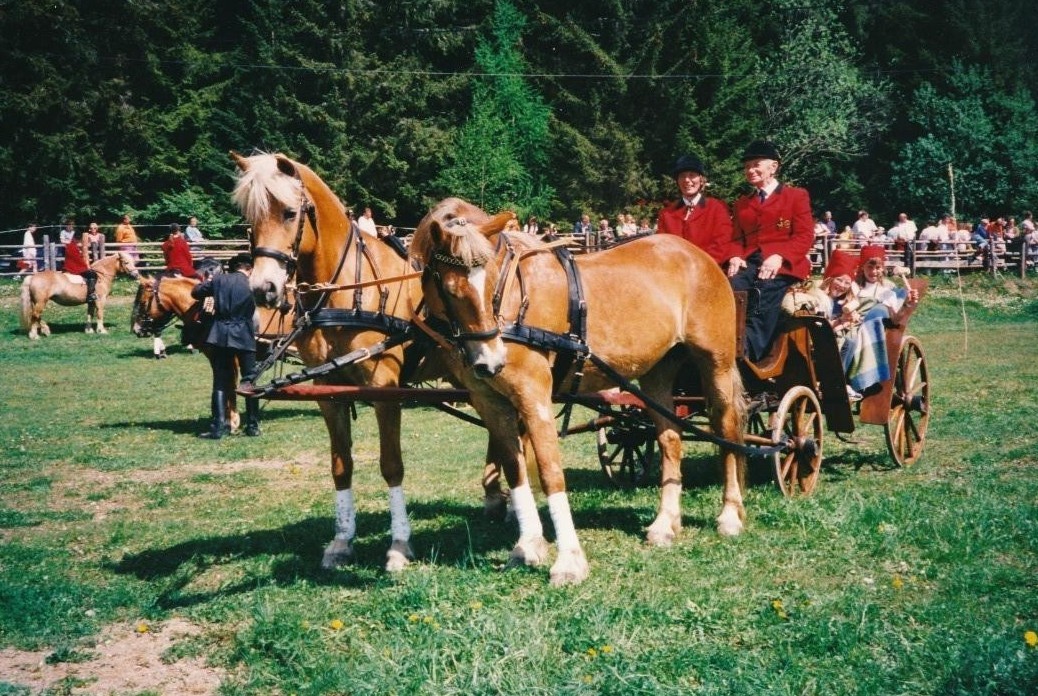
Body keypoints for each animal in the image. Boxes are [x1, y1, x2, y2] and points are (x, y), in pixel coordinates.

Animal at [129, 273, 294, 433]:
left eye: (142, 302)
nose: (136, 329)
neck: (204, 313)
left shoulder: (229, 357)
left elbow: (231, 385)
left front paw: (232, 421)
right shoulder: (216, 357)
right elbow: (221, 385)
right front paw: (221, 419)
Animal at [231, 151, 442, 572]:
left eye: (289, 213)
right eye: (250, 218)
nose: (264, 289)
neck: (350, 292)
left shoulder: (383, 389)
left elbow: (391, 464)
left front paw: (399, 545)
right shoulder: (328, 392)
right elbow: (340, 465)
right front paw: (342, 541)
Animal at [408, 197, 751, 589]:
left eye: (494, 280)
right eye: (451, 289)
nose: (491, 360)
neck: (516, 306)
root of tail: (697, 255)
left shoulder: (534, 397)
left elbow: (551, 473)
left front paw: (569, 561)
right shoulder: (490, 402)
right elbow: (515, 470)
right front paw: (527, 546)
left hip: (717, 364)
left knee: (726, 430)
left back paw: (729, 515)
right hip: (658, 372)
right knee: (669, 439)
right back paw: (665, 523)